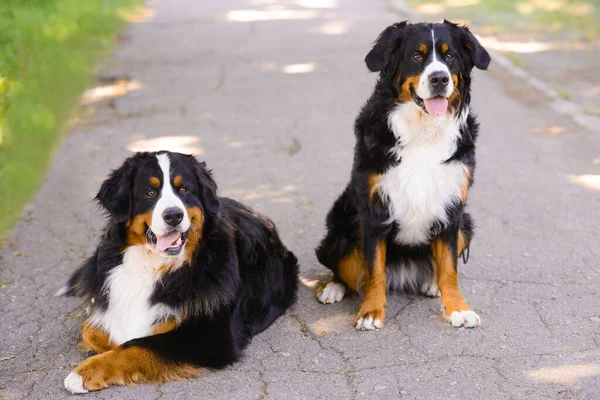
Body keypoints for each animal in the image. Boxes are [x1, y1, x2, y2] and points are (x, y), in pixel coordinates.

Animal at [58, 152, 298, 392]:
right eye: (150, 192)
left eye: (183, 190)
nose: (173, 215)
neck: (153, 264)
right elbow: (92, 330)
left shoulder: (210, 337)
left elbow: (138, 345)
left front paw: (86, 371)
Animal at [316, 20, 490, 330]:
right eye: (417, 56)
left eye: (450, 56)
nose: (439, 79)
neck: (424, 131)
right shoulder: (373, 209)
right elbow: (374, 269)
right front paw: (371, 311)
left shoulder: (452, 208)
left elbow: (450, 268)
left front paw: (458, 308)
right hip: (341, 224)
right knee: (345, 270)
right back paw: (333, 288)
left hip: (466, 226)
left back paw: (432, 284)